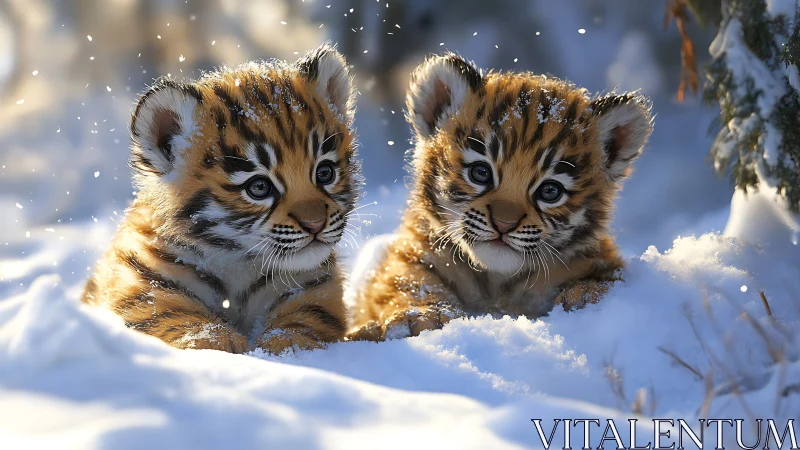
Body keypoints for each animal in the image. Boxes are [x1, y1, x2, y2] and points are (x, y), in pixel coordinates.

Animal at [82, 44, 359, 354]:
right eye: (259, 188)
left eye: (324, 173)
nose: (316, 225)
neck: (237, 262)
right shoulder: (142, 279)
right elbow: (169, 312)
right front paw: (217, 343)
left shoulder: (313, 285)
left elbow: (306, 319)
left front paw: (284, 348)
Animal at [348, 53, 653, 341]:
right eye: (481, 173)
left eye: (550, 191)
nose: (504, 224)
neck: (496, 282)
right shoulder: (413, 254)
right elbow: (407, 283)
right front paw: (422, 316)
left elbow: (605, 282)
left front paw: (583, 298)